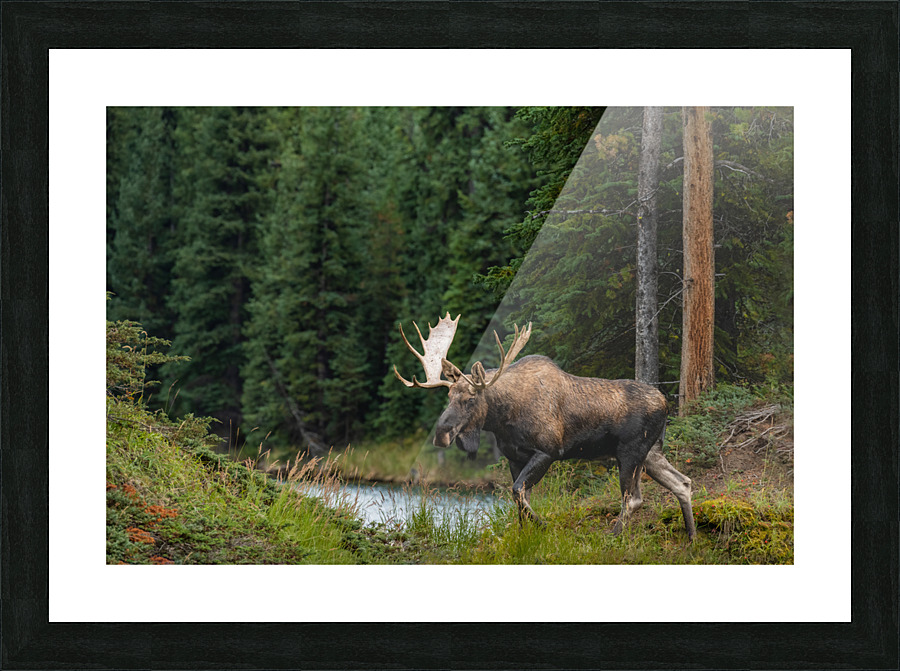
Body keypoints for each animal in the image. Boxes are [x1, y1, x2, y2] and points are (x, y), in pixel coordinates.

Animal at [394, 312, 697, 540]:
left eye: (470, 399)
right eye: (448, 397)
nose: (440, 435)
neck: (502, 419)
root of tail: (665, 402)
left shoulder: (548, 451)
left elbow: (518, 492)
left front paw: (544, 526)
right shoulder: (514, 457)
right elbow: (519, 498)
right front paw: (525, 535)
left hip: (631, 453)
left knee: (633, 499)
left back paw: (612, 535)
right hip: (652, 452)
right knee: (682, 483)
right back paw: (692, 537)